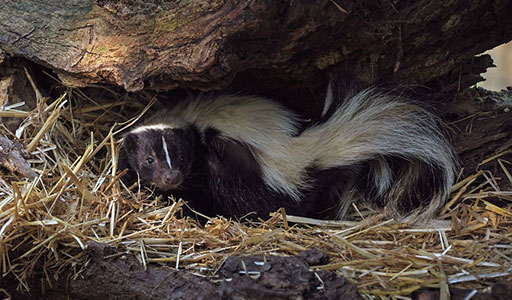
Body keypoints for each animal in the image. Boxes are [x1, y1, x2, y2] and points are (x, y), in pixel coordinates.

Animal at [118, 84, 458, 223]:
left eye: (183, 158)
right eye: (149, 160)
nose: (170, 177)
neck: (185, 119)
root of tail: (305, 150)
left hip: (243, 174)